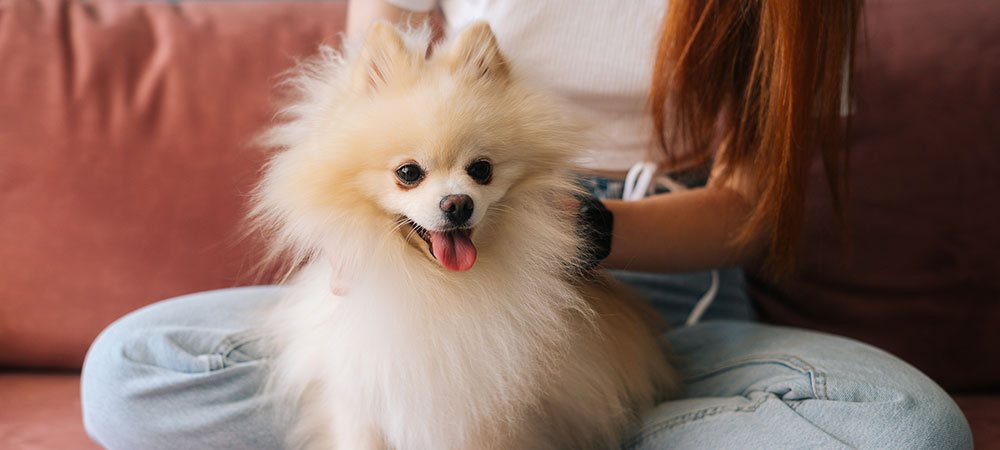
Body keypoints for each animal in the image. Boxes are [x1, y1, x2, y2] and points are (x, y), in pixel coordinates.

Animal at [250, 19, 676, 448]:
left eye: (481, 169)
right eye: (408, 173)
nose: (458, 204)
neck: (439, 288)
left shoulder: (487, 414)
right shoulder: (359, 395)